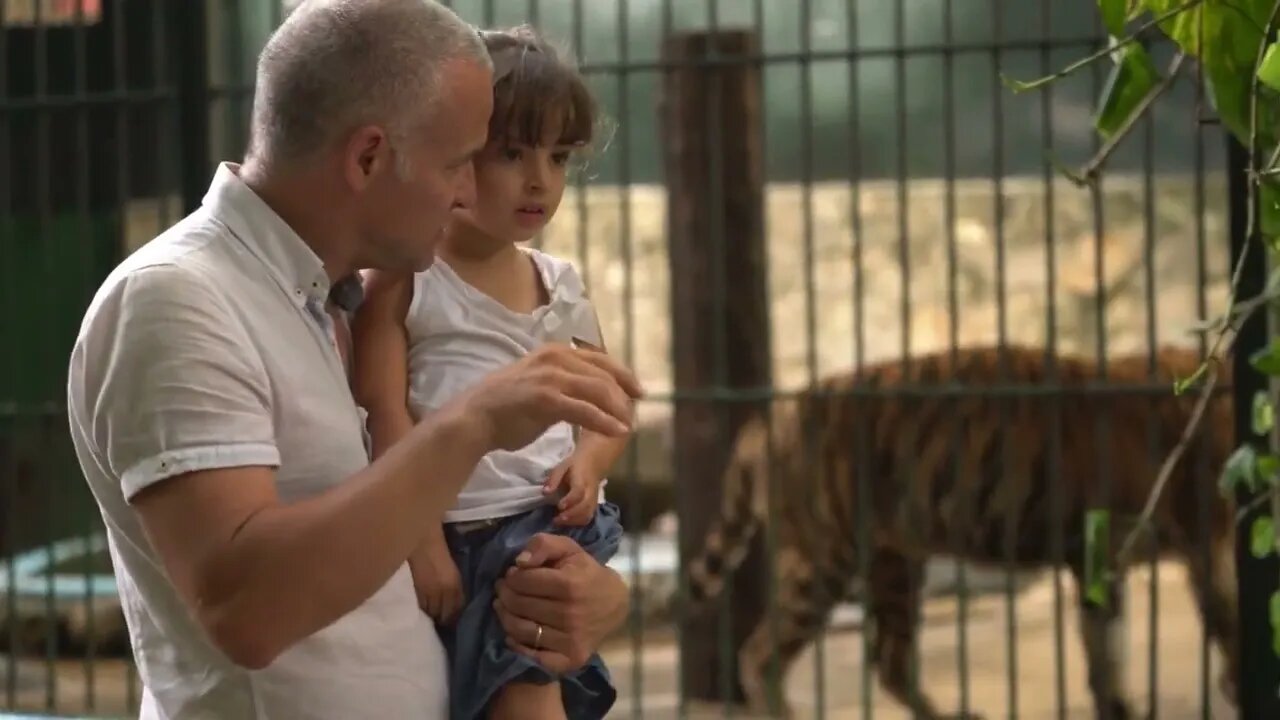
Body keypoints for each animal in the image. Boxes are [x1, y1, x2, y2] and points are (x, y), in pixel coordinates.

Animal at [675, 340, 1244, 717]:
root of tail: (767, 419)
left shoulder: (1099, 561)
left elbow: (1104, 651)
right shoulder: (1203, 543)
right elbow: (1224, 620)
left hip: (895, 564)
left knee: (889, 660)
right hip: (823, 561)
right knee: (760, 656)